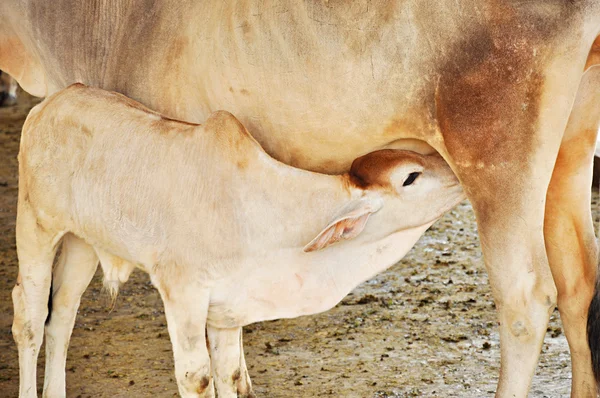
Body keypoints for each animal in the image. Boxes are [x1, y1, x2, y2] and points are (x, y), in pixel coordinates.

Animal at [12, 84, 464, 398]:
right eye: (410, 176)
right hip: (36, 227)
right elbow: (197, 377)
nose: (458, 171)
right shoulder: (184, 294)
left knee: (62, 316)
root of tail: (50, 103)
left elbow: (228, 373)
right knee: (30, 320)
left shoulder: (227, 309)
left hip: (81, 244)